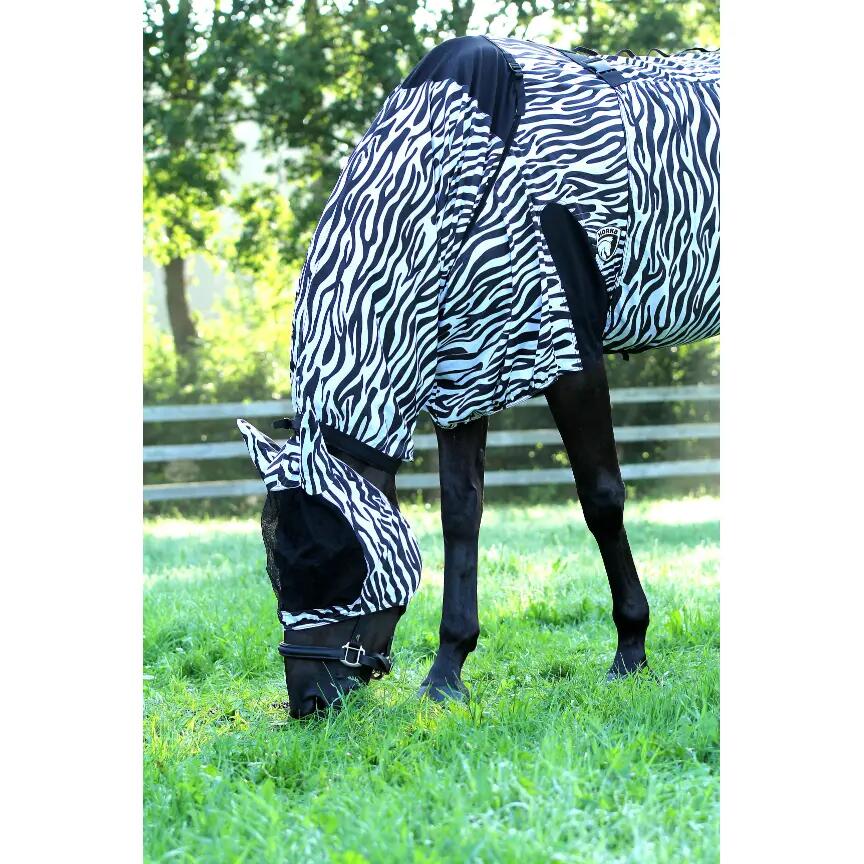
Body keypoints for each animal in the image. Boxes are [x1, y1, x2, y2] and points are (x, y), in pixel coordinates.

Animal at [237, 36, 720, 718]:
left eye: (320, 555)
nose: (307, 699)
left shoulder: (570, 354)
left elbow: (602, 500)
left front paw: (630, 651)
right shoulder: (464, 366)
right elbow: (462, 514)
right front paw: (447, 672)